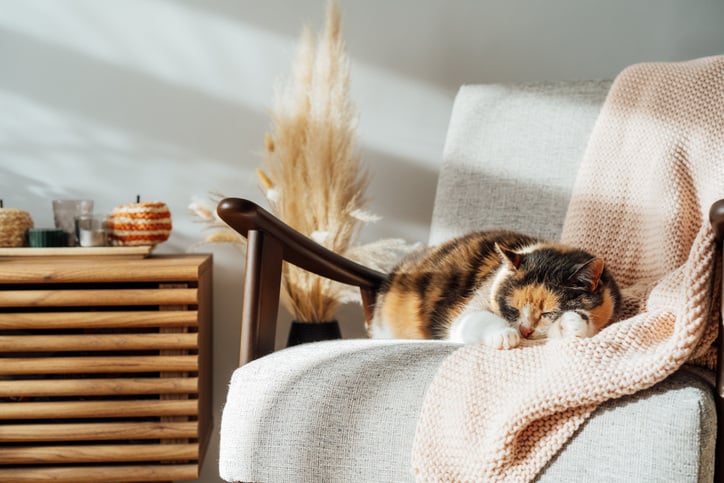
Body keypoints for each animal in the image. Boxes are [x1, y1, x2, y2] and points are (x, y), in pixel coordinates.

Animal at [370, 232, 620, 350]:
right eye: (513, 309)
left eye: (548, 313)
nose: (525, 330)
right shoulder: (473, 306)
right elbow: (475, 318)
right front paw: (504, 335)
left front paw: (572, 325)